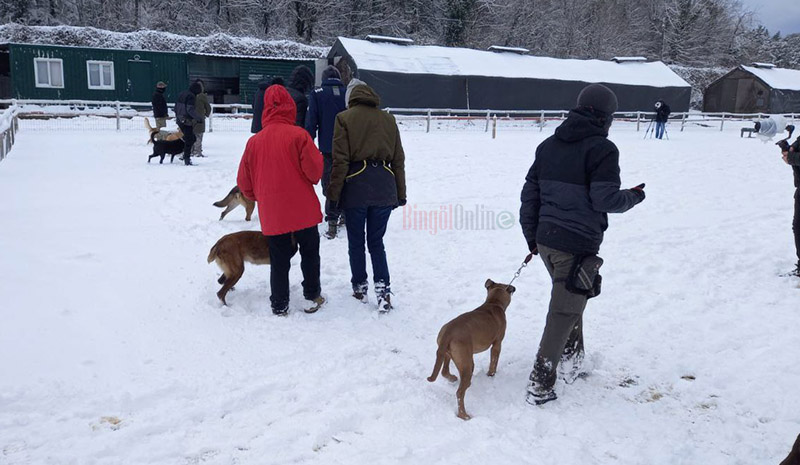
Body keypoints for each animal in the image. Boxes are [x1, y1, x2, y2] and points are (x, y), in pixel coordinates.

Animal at [428, 280, 516, 420]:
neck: (493, 302)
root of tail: (449, 332)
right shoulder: (497, 344)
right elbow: (493, 362)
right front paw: (491, 374)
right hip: (465, 363)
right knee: (460, 393)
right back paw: (464, 415)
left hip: (447, 354)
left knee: (444, 371)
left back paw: (453, 378)